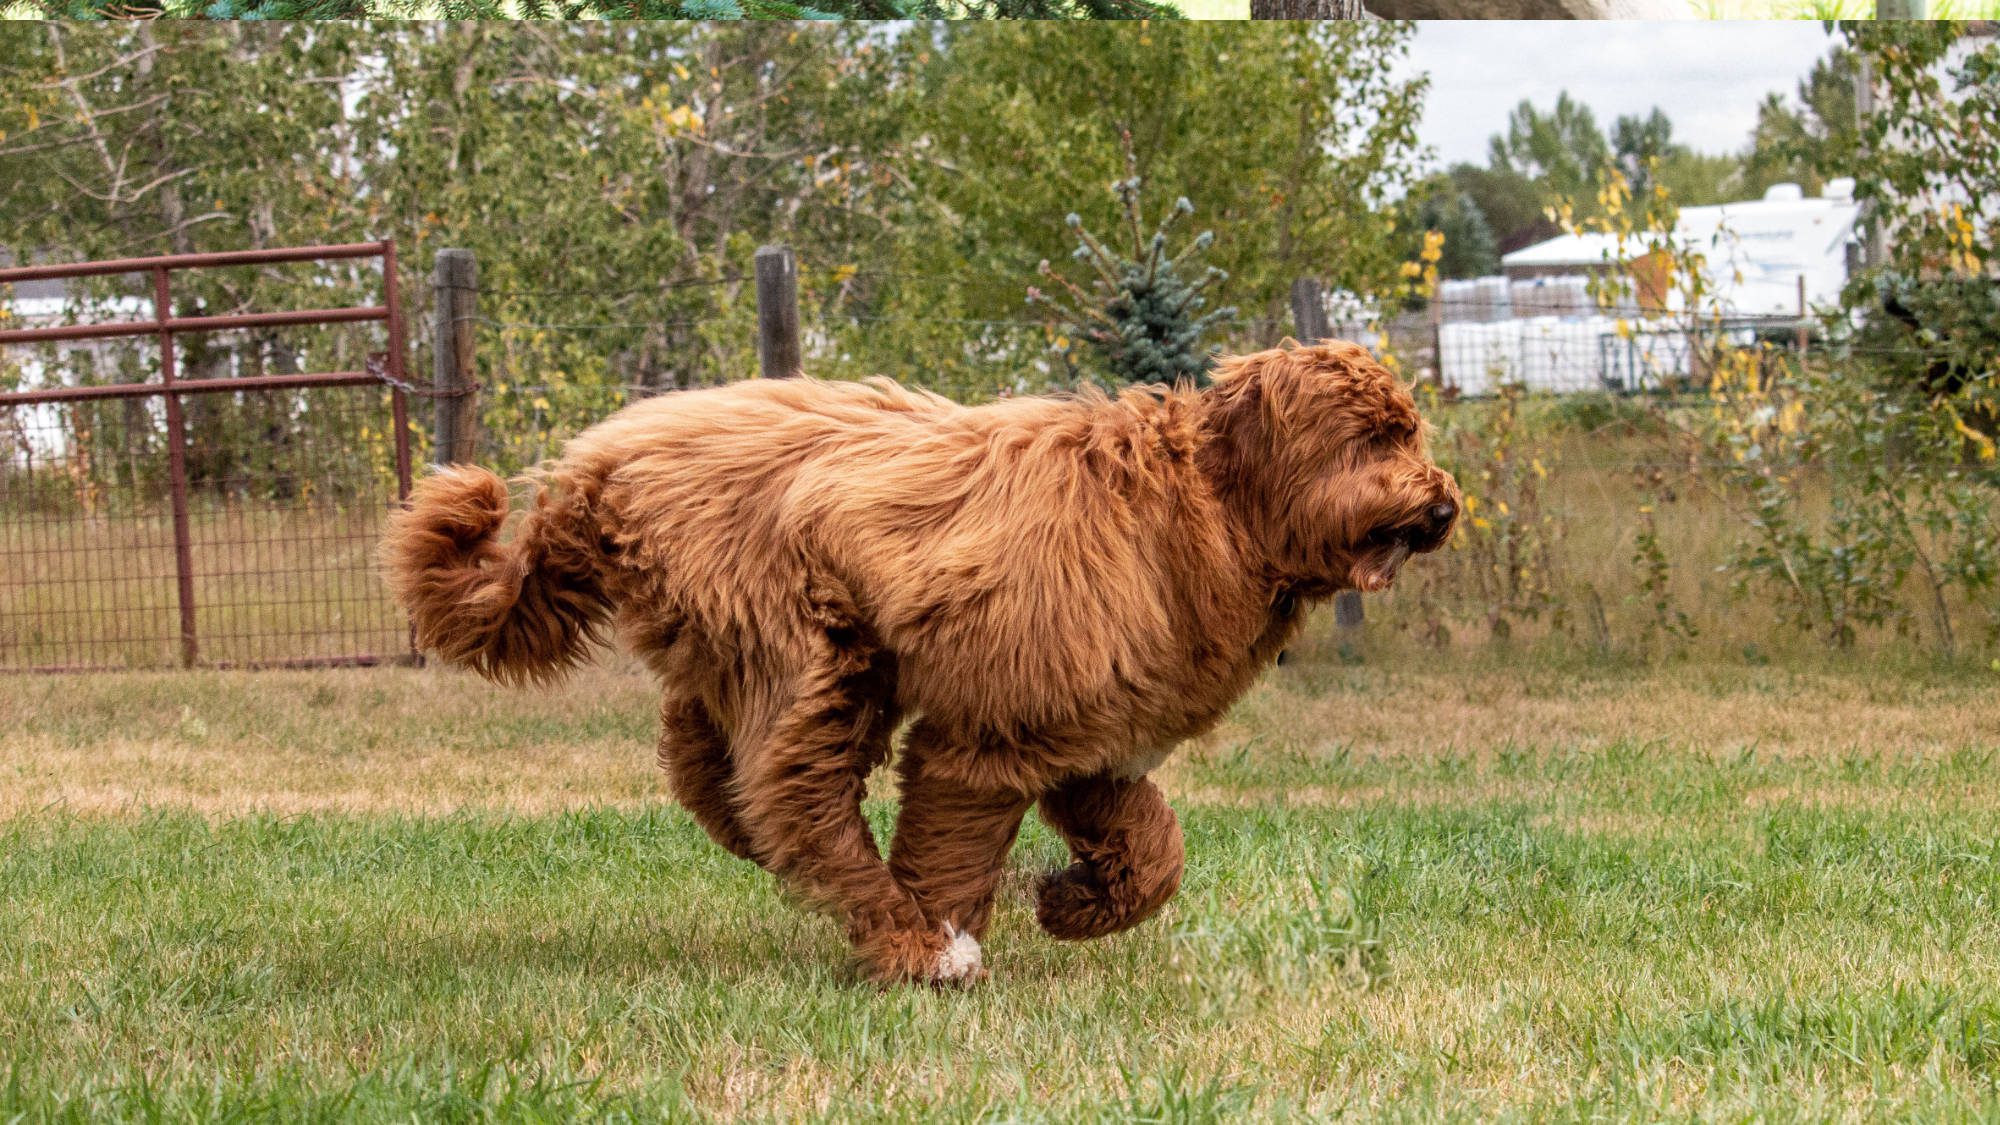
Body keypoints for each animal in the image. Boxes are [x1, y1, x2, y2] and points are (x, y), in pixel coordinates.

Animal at [382, 340, 1464, 980]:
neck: (1197, 506)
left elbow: (1156, 853)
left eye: (1409, 431)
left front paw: (1072, 903)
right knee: (799, 796)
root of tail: (595, 464)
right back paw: (907, 943)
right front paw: (948, 931)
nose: (1446, 504)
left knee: (707, 764)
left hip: (732, 639)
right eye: (1376, 438)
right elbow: (950, 851)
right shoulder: (990, 738)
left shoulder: (1095, 742)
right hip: (812, 647)